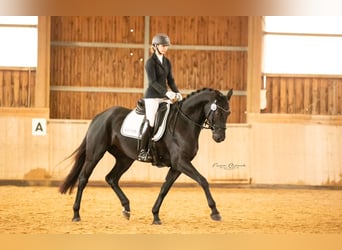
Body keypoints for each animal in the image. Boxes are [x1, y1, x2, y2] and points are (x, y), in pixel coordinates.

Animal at [60, 87, 234, 225]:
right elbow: (203, 181)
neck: (184, 123)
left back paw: (126, 209)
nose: (220, 137)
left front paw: (155, 215)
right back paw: (76, 214)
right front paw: (215, 212)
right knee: (83, 179)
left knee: (111, 178)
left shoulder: (177, 166)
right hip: (95, 154)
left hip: (125, 159)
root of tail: (100, 116)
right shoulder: (181, 162)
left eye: (229, 112)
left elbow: (164, 188)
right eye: (218, 111)